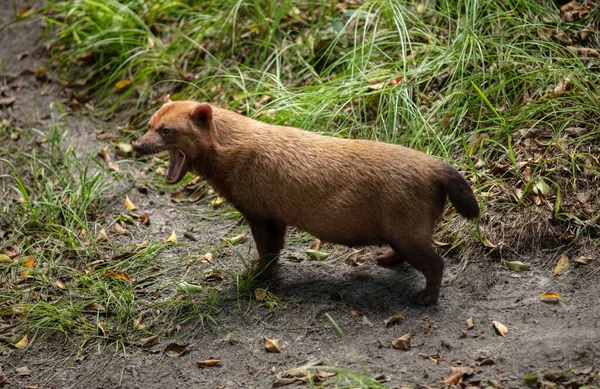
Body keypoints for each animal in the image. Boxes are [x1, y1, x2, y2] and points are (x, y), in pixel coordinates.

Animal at [135, 98, 478, 304]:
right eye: (148, 123)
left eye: (167, 130)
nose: (138, 145)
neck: (237, 149)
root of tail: (438, 167)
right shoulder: (274, 215)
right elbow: (274, 247)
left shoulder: (260, 211)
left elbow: (268, 249)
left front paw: (254, 275)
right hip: (404, 231)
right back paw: (385, 258)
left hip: (409, 230)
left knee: (436, 263)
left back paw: (425, 298)